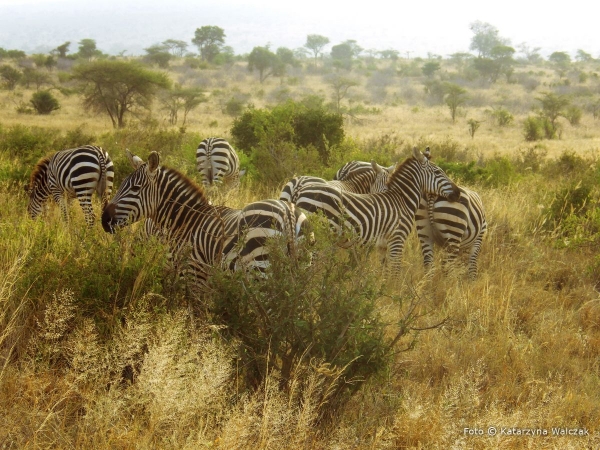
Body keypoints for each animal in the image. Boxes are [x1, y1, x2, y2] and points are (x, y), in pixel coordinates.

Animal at [102, 149, 308, 286]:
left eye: (135, 188)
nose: (104, 220)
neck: (187, 219)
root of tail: (288, 211)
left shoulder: (193, 271)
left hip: (260, 269)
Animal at [282, 148, 460, 274]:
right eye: (438, 172)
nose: (458, 193)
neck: (402, 199)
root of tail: (300, 190)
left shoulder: (382, 245)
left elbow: (384, 272)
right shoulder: (397, 239)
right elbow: (395, 273)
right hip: (318, 238)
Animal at [338, 151, 488, 278]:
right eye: (437, 171)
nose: (457, 194)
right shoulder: (479, 237)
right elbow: (472, 266)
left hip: (424, 232)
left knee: (429, 264)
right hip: (451, 231)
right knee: (447, 267)